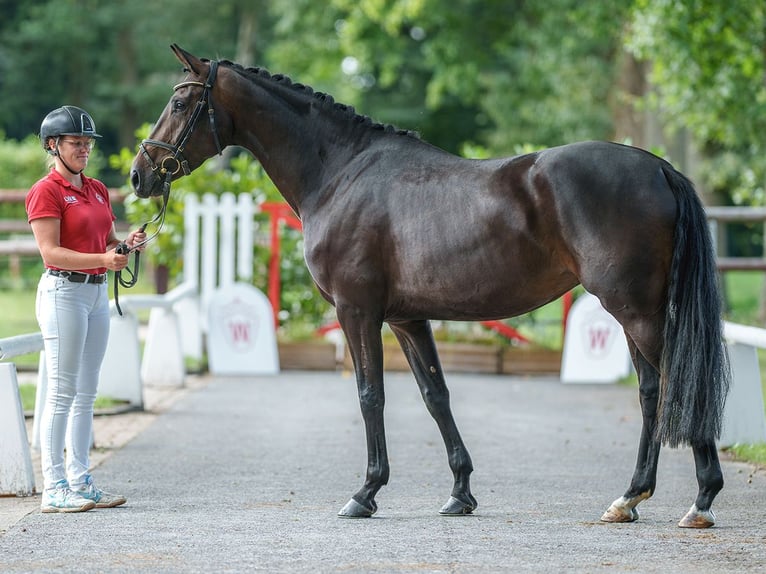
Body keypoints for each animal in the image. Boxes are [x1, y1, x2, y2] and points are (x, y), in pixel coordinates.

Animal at [130, 46, 732, 532]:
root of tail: (657, 168)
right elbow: (435, 396)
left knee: (677, 382)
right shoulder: (406, 319)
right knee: (652, 393)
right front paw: (460, 493)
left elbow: (370, 395)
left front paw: (365, 493)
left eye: (180, 102)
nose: (140, 175)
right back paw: (628, 498)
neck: (340, 173)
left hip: (634, 308)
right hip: (633, 310)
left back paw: (702, 501)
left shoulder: (357, 312)